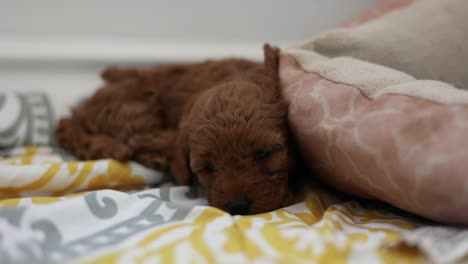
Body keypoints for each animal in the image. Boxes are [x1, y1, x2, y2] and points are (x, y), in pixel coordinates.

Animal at [56, 45, 300, 214]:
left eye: (264, 154)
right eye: (208, 167)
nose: (238, 207)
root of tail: (77, 115)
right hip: (136, 109)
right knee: (137, 140)